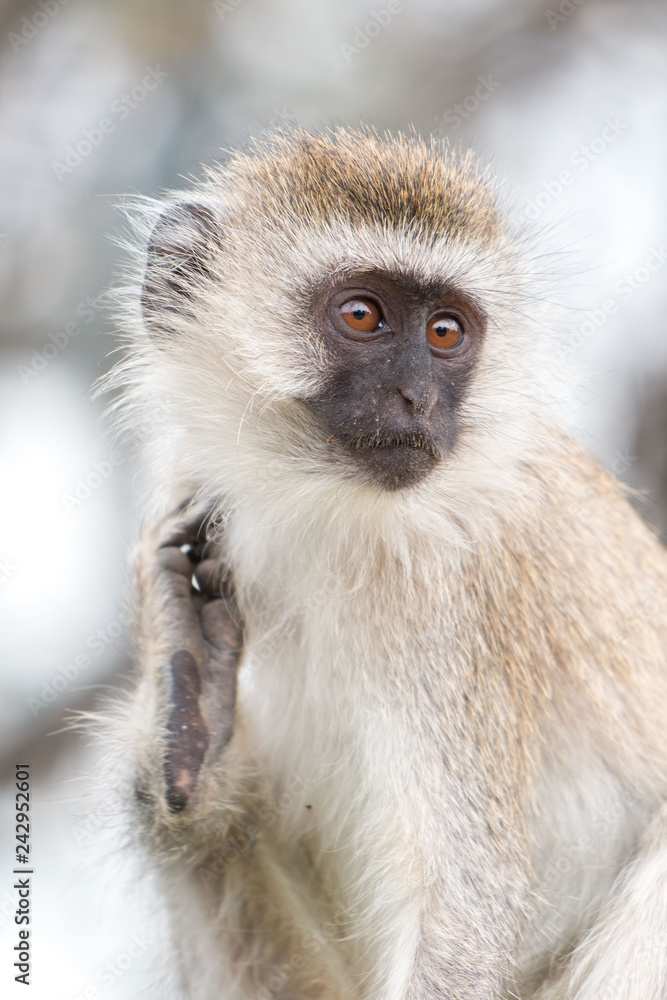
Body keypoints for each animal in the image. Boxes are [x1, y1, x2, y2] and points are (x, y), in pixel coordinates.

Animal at [105, 127, 667, 1000]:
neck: (325, 515)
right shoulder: (188, 499)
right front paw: (186, 699)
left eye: (445, 333)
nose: (416, 399)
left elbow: (460, 916)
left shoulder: (453, 593)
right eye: (362, 315)